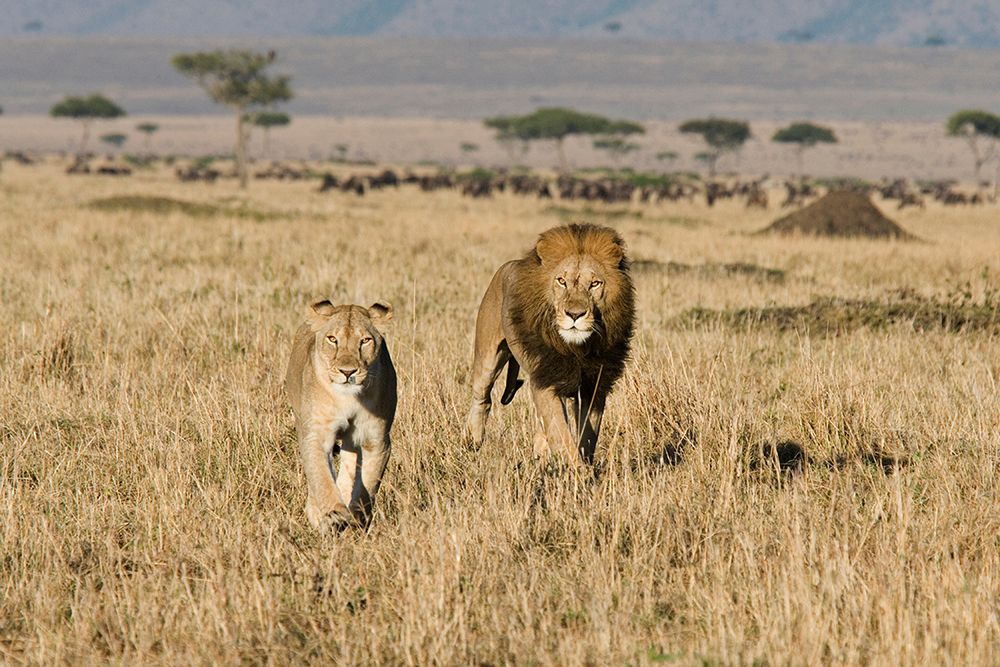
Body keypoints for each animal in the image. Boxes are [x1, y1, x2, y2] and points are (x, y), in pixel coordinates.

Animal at [285, 300, 396, 531]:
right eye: (332, 339)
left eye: (365, 341)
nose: (348, 372)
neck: (348, 399)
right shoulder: (316, 435)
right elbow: (321, 476)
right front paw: (332, 514)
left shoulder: (376, 440)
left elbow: (368, 482)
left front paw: (356, 516)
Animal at [465, 223, 635, 465]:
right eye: (561, 281)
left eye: (594, 284)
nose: (575, 314)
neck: (576, 349)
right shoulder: (546, 382)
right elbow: (561, 433)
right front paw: (577, 471)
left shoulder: (593, 385)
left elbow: (587, 435)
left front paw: (584, 464)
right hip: (488, 357)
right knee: (482, 397)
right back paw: (472, 439)